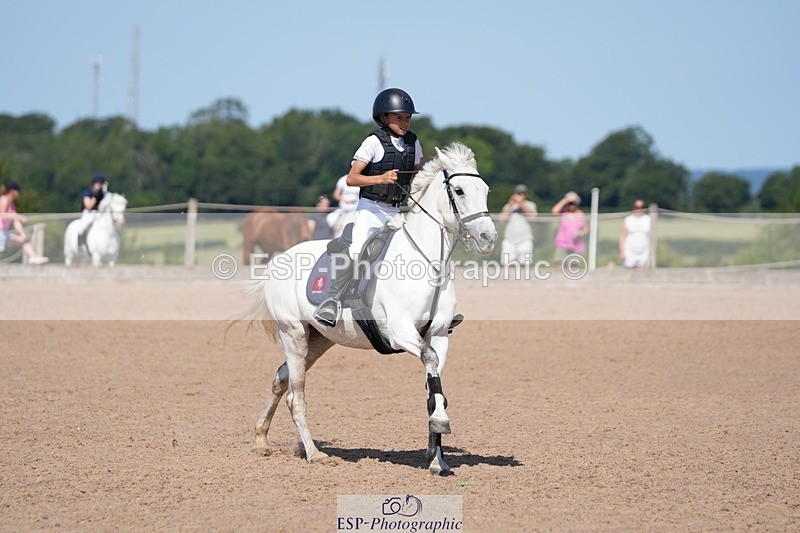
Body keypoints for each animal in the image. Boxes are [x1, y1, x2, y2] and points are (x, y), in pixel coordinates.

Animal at [239, 142, 497, 475]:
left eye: (485, 190)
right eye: (459, 190)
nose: (488, 238)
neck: (428, 262)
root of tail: (278, 260)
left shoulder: (440, 335)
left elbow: (434, 387)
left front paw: (437, 458)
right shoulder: (402, 333)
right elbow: (429, 362)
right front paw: (440, 424)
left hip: (318, 340)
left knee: (281, 379)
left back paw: (261, 440)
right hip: (292, 333)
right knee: (296, 395)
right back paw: (314, 453)